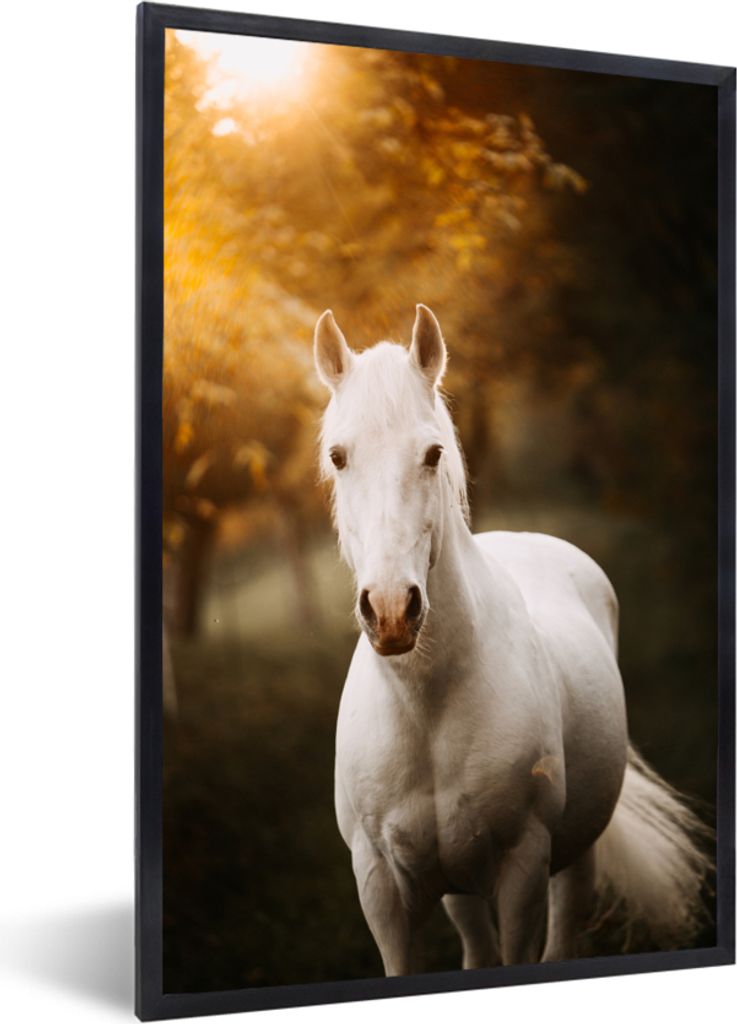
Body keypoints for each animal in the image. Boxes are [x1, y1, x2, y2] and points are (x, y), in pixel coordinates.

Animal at [313, 303, 712, 975]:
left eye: (432, 453)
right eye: (339, 456)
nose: (391, 611)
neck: (428, 707)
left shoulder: (523, 868)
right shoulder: (379, 886)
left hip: (575, 856)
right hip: (456, 885)